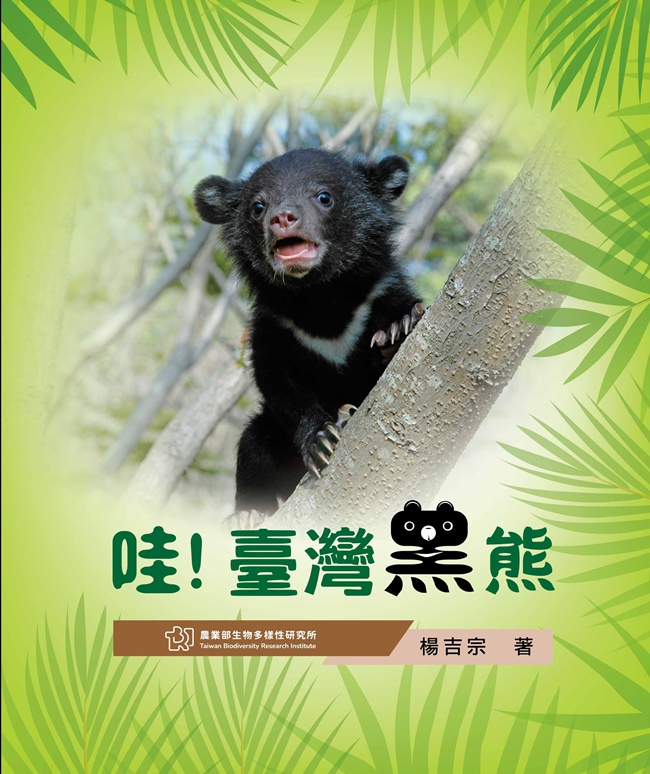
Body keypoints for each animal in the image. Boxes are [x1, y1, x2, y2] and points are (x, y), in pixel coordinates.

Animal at [194, 148, 424, 515]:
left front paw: (395, 329)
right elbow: (280, 383)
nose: (283, 218)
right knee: (253, 444)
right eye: (258, 207)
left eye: (324, 197)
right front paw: (322, 440)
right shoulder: (274, 327)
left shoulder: (379, 291)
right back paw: (246, 514)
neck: (318, 297)